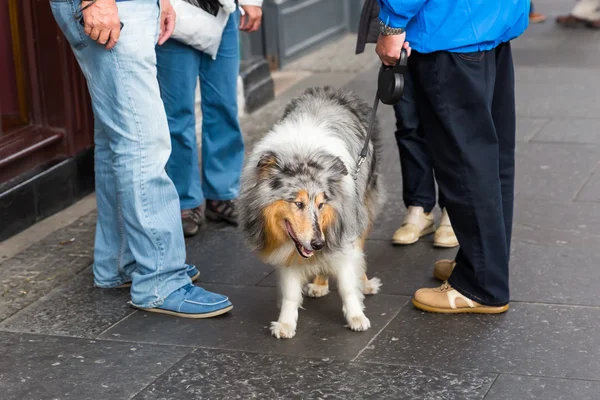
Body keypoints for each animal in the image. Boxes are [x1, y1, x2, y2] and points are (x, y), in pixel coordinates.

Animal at [239, 86, 384, 338]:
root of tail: (331, 91)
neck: (301, 153)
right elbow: (290, 293)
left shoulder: (342, 233)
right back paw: (319, 284)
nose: (318, 244)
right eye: (297, 203)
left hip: (363, 211)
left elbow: (347, 285)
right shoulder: (288, 251)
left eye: (321, 204)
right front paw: (285, 324)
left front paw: (356, 317)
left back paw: (364, 284)